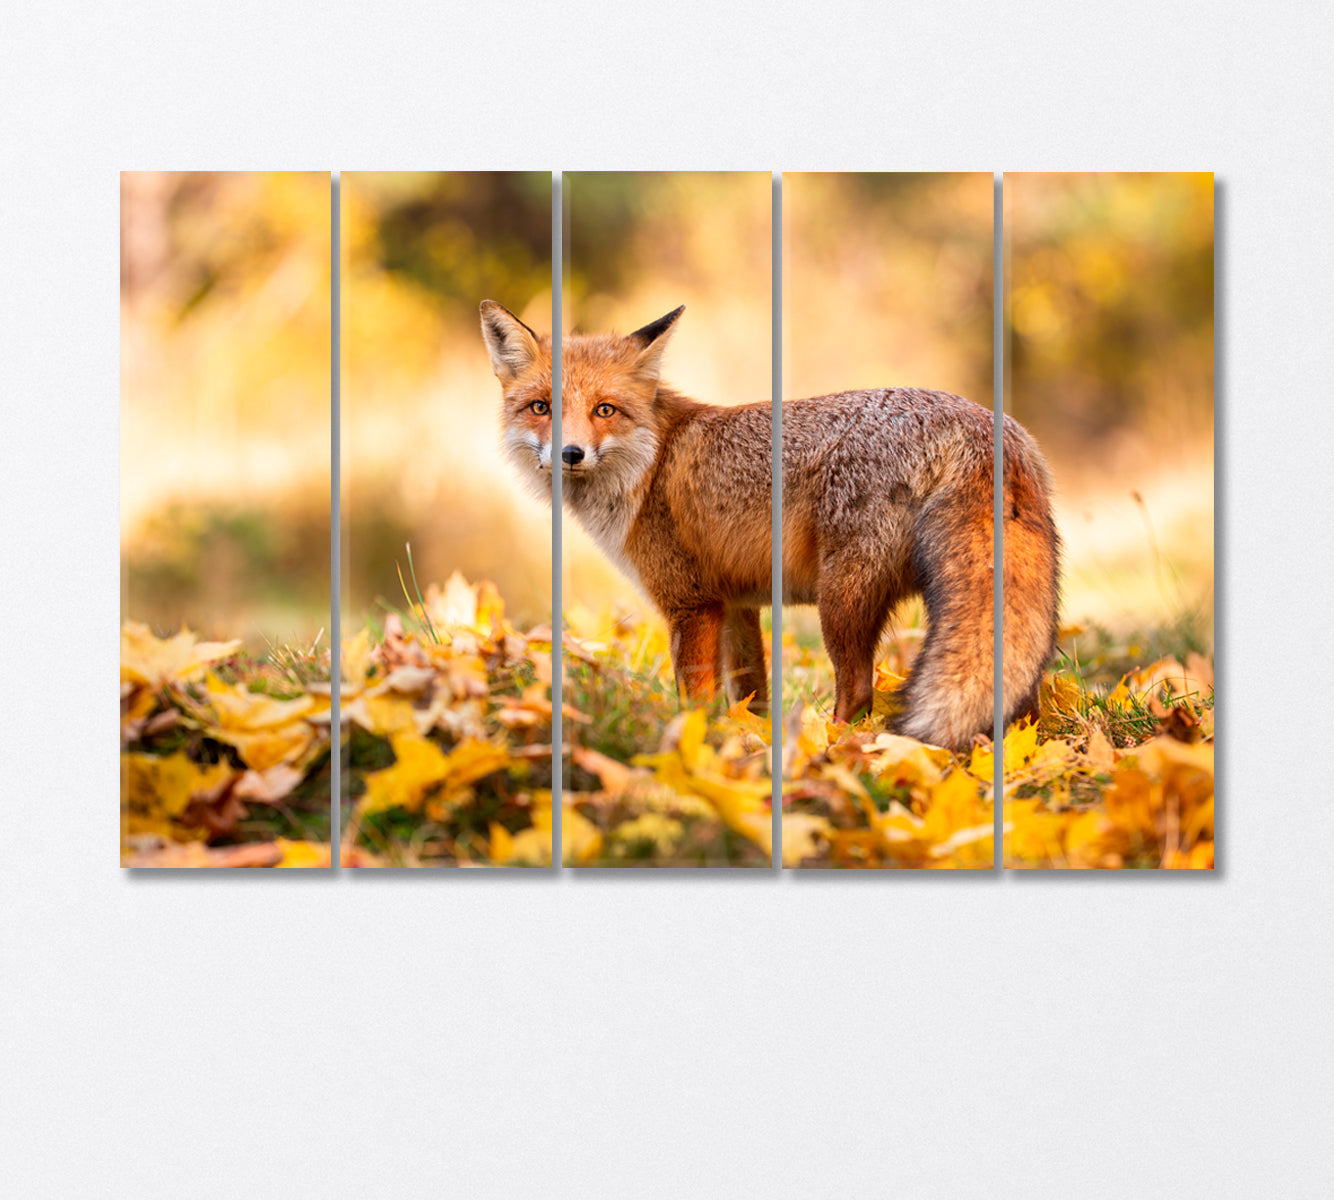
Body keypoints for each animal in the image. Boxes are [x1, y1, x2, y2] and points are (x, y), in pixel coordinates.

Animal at [485, 300, 1056, 752]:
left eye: (605, 410)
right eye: (541, 407)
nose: (570, 454)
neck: (651, 465)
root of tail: (982, 423)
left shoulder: (690, 605)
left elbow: (695, 699)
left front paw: (696, 746)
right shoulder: (736, 604)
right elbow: (750, 694)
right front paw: (747, 741)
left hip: (842, 599)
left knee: (858, 689)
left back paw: (829, 749)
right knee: (1022, 693)